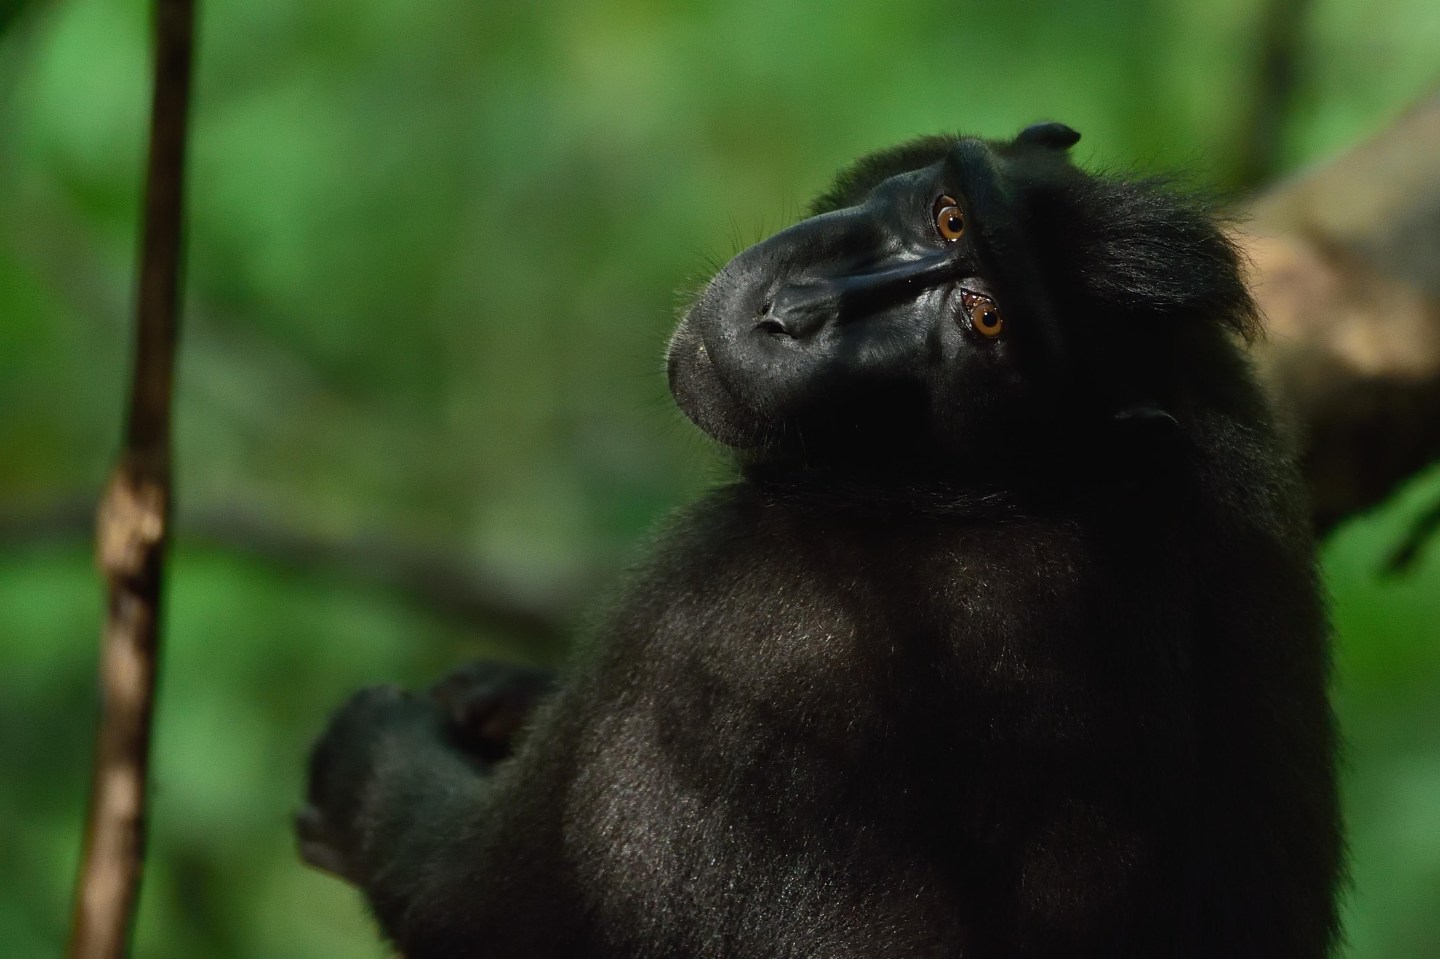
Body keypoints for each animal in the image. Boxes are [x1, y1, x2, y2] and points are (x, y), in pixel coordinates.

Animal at [298, 122, 1343, 958]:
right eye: (949, 216)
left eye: (986, 320)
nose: (796, 312)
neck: (1011, 491)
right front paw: (503, 696)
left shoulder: (723, 630)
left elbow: (487, 910)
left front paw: (371, 762)